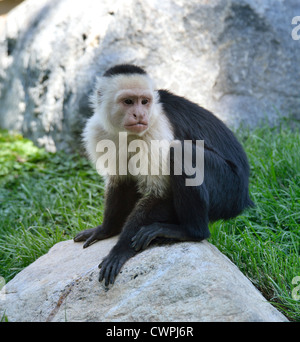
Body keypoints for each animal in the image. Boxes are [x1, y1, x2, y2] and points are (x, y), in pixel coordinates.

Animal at [74, 64, 253, 286]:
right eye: (128, 101)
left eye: (144, 101)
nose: (140, 114)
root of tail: (244, 196)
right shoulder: (99, 131)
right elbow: (121, 183)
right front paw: (106, 229)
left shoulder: (156, 129)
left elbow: (160, 193)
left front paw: (120, 250)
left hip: (229, 189)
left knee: (180, 151)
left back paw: (190, 232)